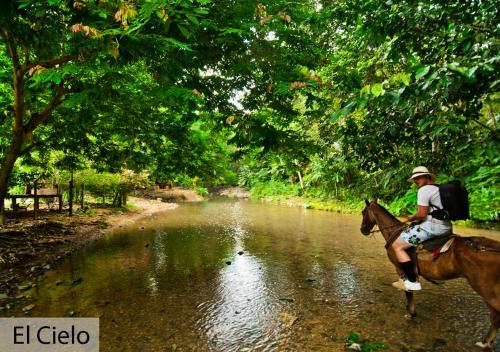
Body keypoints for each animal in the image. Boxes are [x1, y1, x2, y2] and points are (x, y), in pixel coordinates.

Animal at [362, 199, 498, 350]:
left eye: (363, 213)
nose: (363, 230)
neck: (393, 232)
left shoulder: (400, 268)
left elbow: (409, 291)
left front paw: (410, 313)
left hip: (486, 290)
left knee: (495, 317)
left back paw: (485, 342)